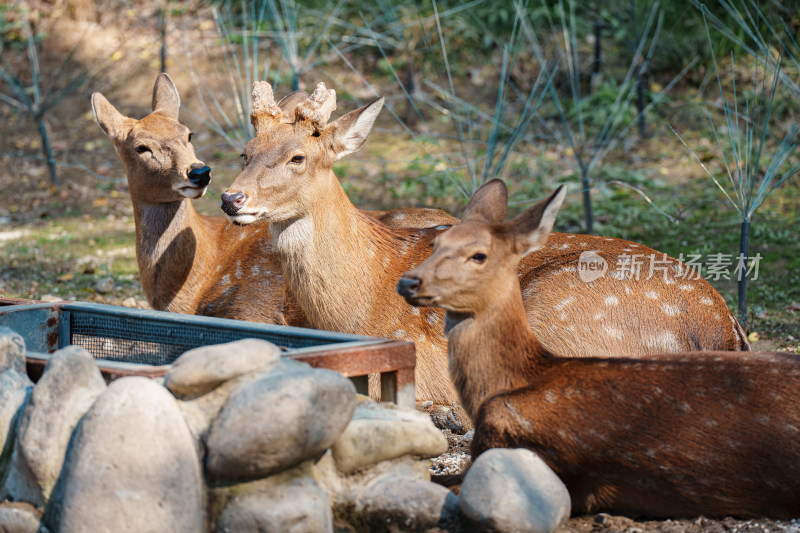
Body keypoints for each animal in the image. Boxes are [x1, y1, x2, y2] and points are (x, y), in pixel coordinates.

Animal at [223, 79, 752, 420]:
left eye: (298, 157)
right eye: (245, 152)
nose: (232, 198)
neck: (358, 306)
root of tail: (724, 330)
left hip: (564, 311)